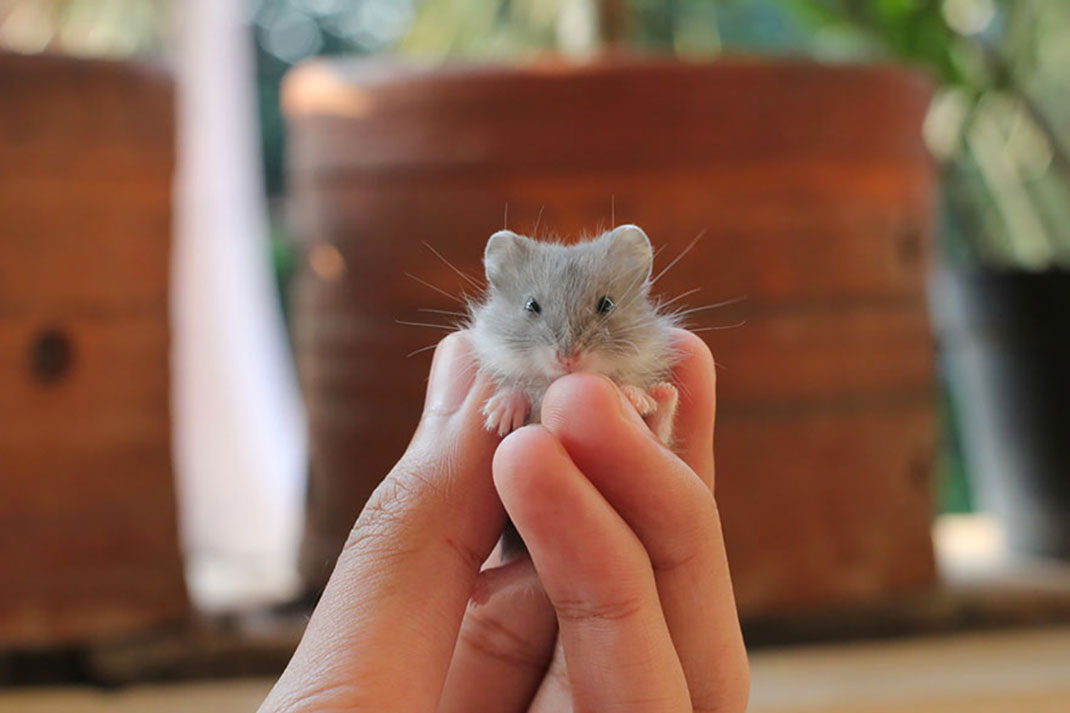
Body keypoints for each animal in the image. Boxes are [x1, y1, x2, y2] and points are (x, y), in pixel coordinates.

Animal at [467, 224, 680, 443]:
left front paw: (638, 399)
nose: (567, 360)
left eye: (607, 304)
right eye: (531, 305)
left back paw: (665, 393)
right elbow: (514, 386)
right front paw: (498, 415)